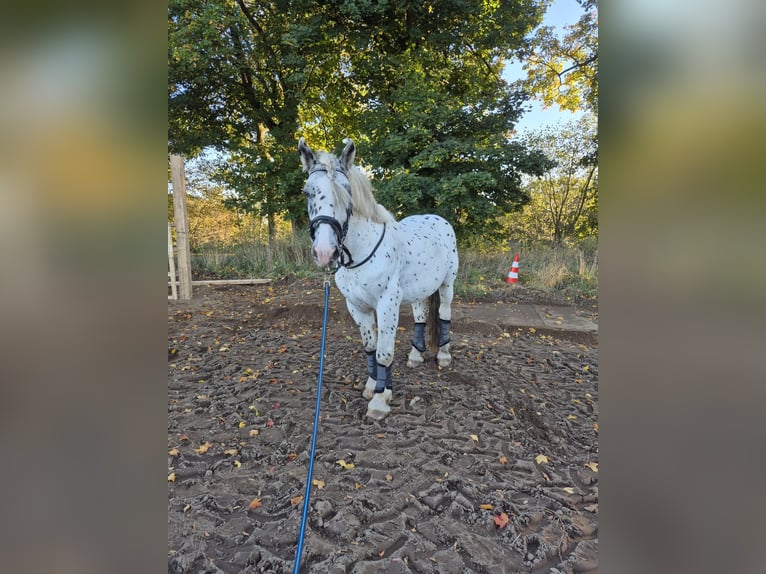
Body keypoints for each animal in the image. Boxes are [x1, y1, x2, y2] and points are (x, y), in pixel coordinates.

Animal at [298, 137, 459, 420]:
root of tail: (440, 220)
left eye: (347, 192)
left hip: (447, 285)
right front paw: (374, 386)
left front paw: (380, 402)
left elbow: (384, 353)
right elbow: (370, 348)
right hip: (419, 290)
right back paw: (416, 356)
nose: (325, 252)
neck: (362, 252)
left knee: (444, 314)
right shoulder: (357, 307)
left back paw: (443, 355)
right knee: (420, 316)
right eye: (308, 192)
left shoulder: (387, 304)